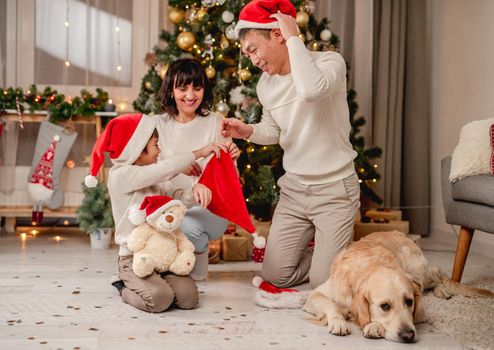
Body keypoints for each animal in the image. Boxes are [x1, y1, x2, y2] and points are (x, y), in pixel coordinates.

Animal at [302, 231, 492, 344]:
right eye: (385, 306)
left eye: (409, 302)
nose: (408, 335)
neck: (370, 266)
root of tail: (397, 232)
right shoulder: (316, 294)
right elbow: (331, 304)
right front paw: (339, 321)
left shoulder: (421, 311)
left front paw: (373, 326)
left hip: (417, 271)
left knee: (435, 274)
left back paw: (442, 290)